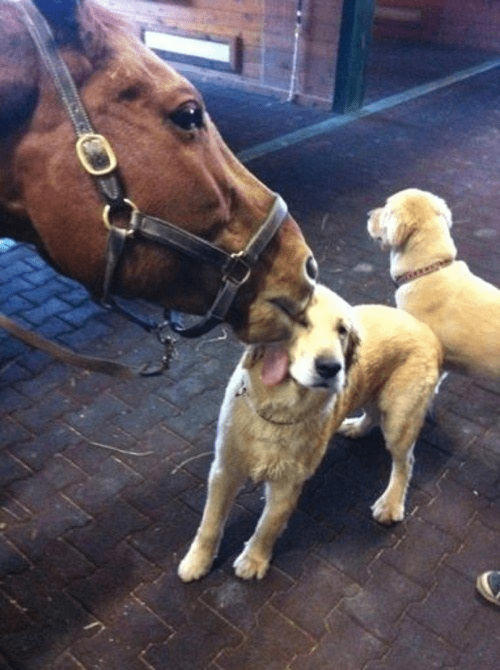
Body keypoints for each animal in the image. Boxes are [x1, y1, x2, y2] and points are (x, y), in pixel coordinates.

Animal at [177, 284, 442, 584]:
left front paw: (254, 560)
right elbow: (210, 522)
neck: (279, 411)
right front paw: (197, 561)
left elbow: (268, 525)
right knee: (374, 416)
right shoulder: (224, 469)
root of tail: (425, 329)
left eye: (342, 330)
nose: (330, 368)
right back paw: (355, 428)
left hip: (399, 419)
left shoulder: (289, 482)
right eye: (301, 321)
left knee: (404, 462)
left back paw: (391, 503)